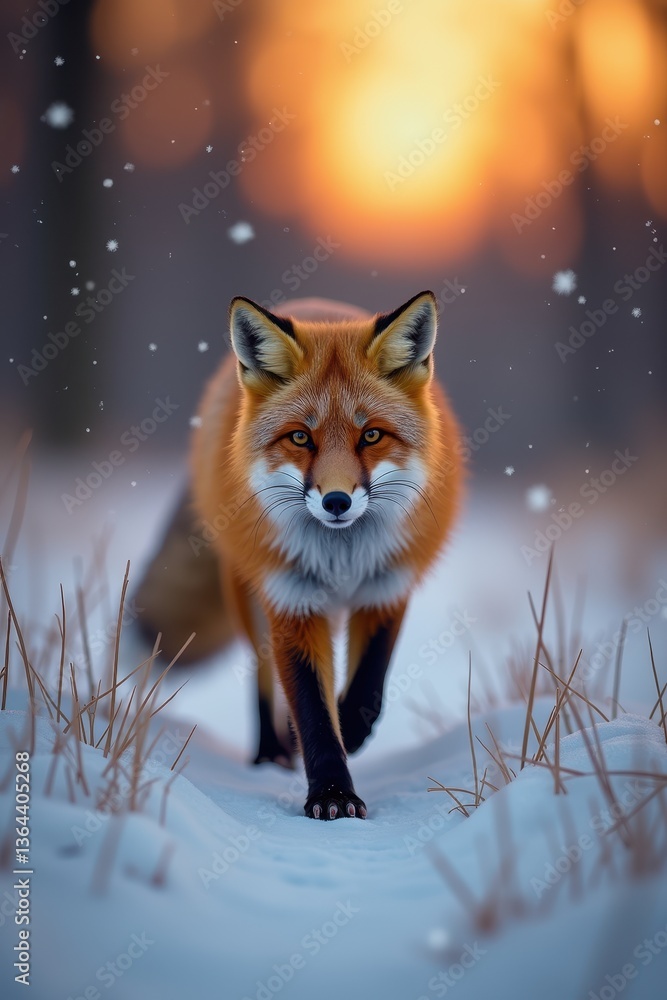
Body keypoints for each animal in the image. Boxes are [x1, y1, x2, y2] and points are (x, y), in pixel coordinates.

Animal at [135, 291, 463, 820]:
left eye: (371, 435)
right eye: (301, 437)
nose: (337, 502)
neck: (341, 559)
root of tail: (311, 302)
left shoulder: (387, 585)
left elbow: (369, 686)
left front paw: (352, 730)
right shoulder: (292, 597)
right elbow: (311, 706)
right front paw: (332, 793)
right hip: (246, 593)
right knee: (263, 674)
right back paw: (270, 751)